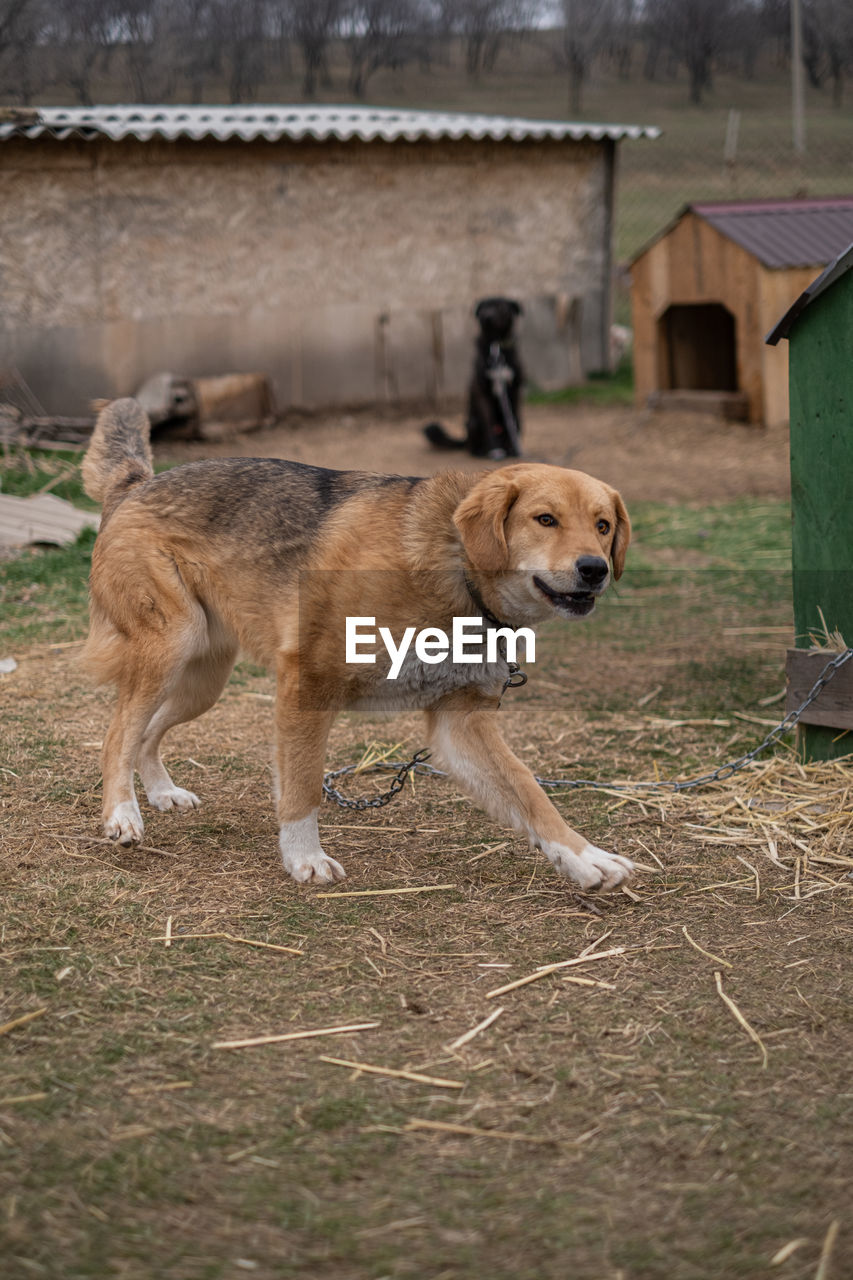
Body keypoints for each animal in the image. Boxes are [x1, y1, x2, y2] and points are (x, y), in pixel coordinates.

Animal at [81, 396, 630, 890]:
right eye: (545, 519)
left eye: (603, 526)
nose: (594, 569)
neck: (455, 570)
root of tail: (136, 483)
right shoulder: (308, 686)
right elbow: (303, 787)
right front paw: (305, 859)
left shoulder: (461, 724)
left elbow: (529, 791)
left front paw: (584, 857)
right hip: (171, 649)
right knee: (117, 735)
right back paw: (122, 814)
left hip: (203, 683)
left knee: (145, 735)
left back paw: (161, 792)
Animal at [422, 296, 522, 458]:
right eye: (484, 308)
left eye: (500, 307)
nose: (487, 316)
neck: (496, 348)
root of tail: (465, 439)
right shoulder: (482, 394)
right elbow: (489, 423)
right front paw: (496, 451)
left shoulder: (515, 391)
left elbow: (514, 422)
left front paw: (514, 450)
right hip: (473, 423)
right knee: (475, 444)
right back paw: (482, 451)